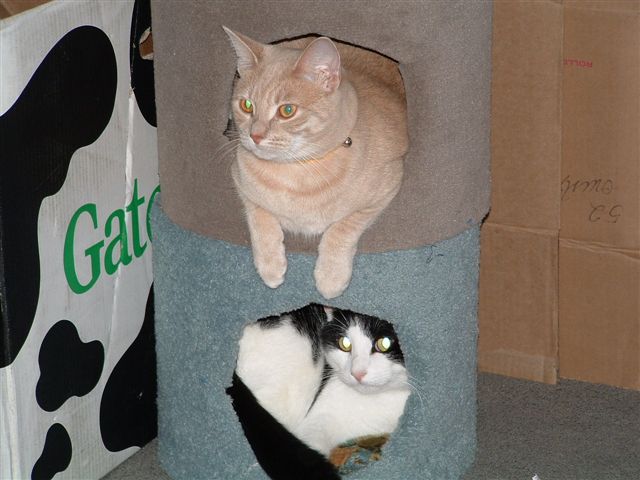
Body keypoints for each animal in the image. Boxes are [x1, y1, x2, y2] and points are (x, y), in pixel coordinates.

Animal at [223, 27, 408, 298]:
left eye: (287, 110)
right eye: (246, 105)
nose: (255, 136)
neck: (293, 173)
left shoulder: (387, 188)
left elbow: (342, 228)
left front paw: (331, 275)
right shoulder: (239, 179)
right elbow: (259, 216)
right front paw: (270, 265)